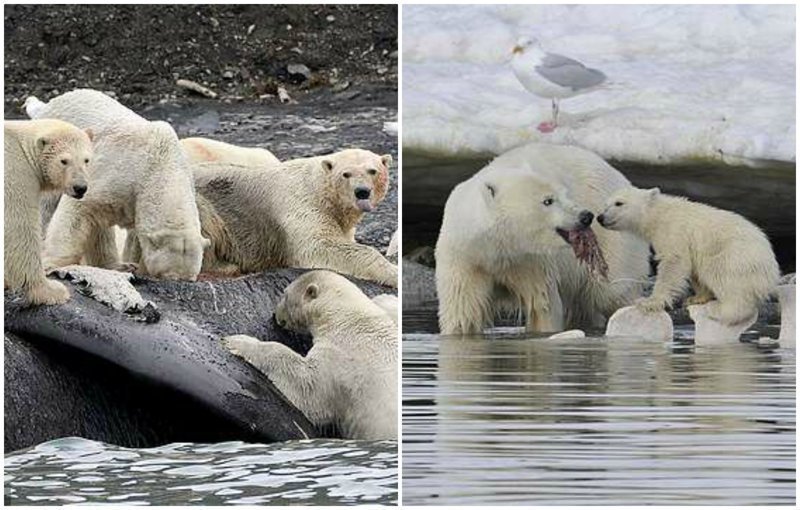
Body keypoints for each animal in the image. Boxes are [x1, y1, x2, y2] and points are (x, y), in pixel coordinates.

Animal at [4, 118, 94, 306]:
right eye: (64, 161)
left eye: (86, 160)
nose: (80, 187)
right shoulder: (15, 174)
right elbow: (19, 231)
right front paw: (51, 291)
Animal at [26, 87, 209, 278]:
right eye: (167, 275)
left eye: (191, 278)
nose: (180, 280)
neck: (161, 163)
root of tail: (46, 106)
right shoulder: (118, 171)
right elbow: (78, 210)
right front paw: (51, 263)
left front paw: (132, 264)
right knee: (46, 206)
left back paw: (117, 265)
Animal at [223, 268, 398, 440]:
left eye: (285, 295)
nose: (274, 314)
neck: (349, 318)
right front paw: (382, 298)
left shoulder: (340, 357)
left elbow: (307, 387)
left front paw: (238, 341)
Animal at [438, 142, 648, 334]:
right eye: (548, 200)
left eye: (564, 194)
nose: (586, 216)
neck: (496, 248)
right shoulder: (464, 259)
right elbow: (463, 312)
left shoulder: (532, 262)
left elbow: (542, 306)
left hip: (615, 240)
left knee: (612, 290)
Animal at [596, 186, 780, 322]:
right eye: (606, 204)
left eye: (619, 203)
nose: (600, 217)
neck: (658, 215)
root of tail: (772, 272)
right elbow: (692, 268)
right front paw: (696, 298)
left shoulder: (674, 232)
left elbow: (673, 262)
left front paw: (648, 302)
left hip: (734, 256)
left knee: (722, 277)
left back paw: (722, 312)